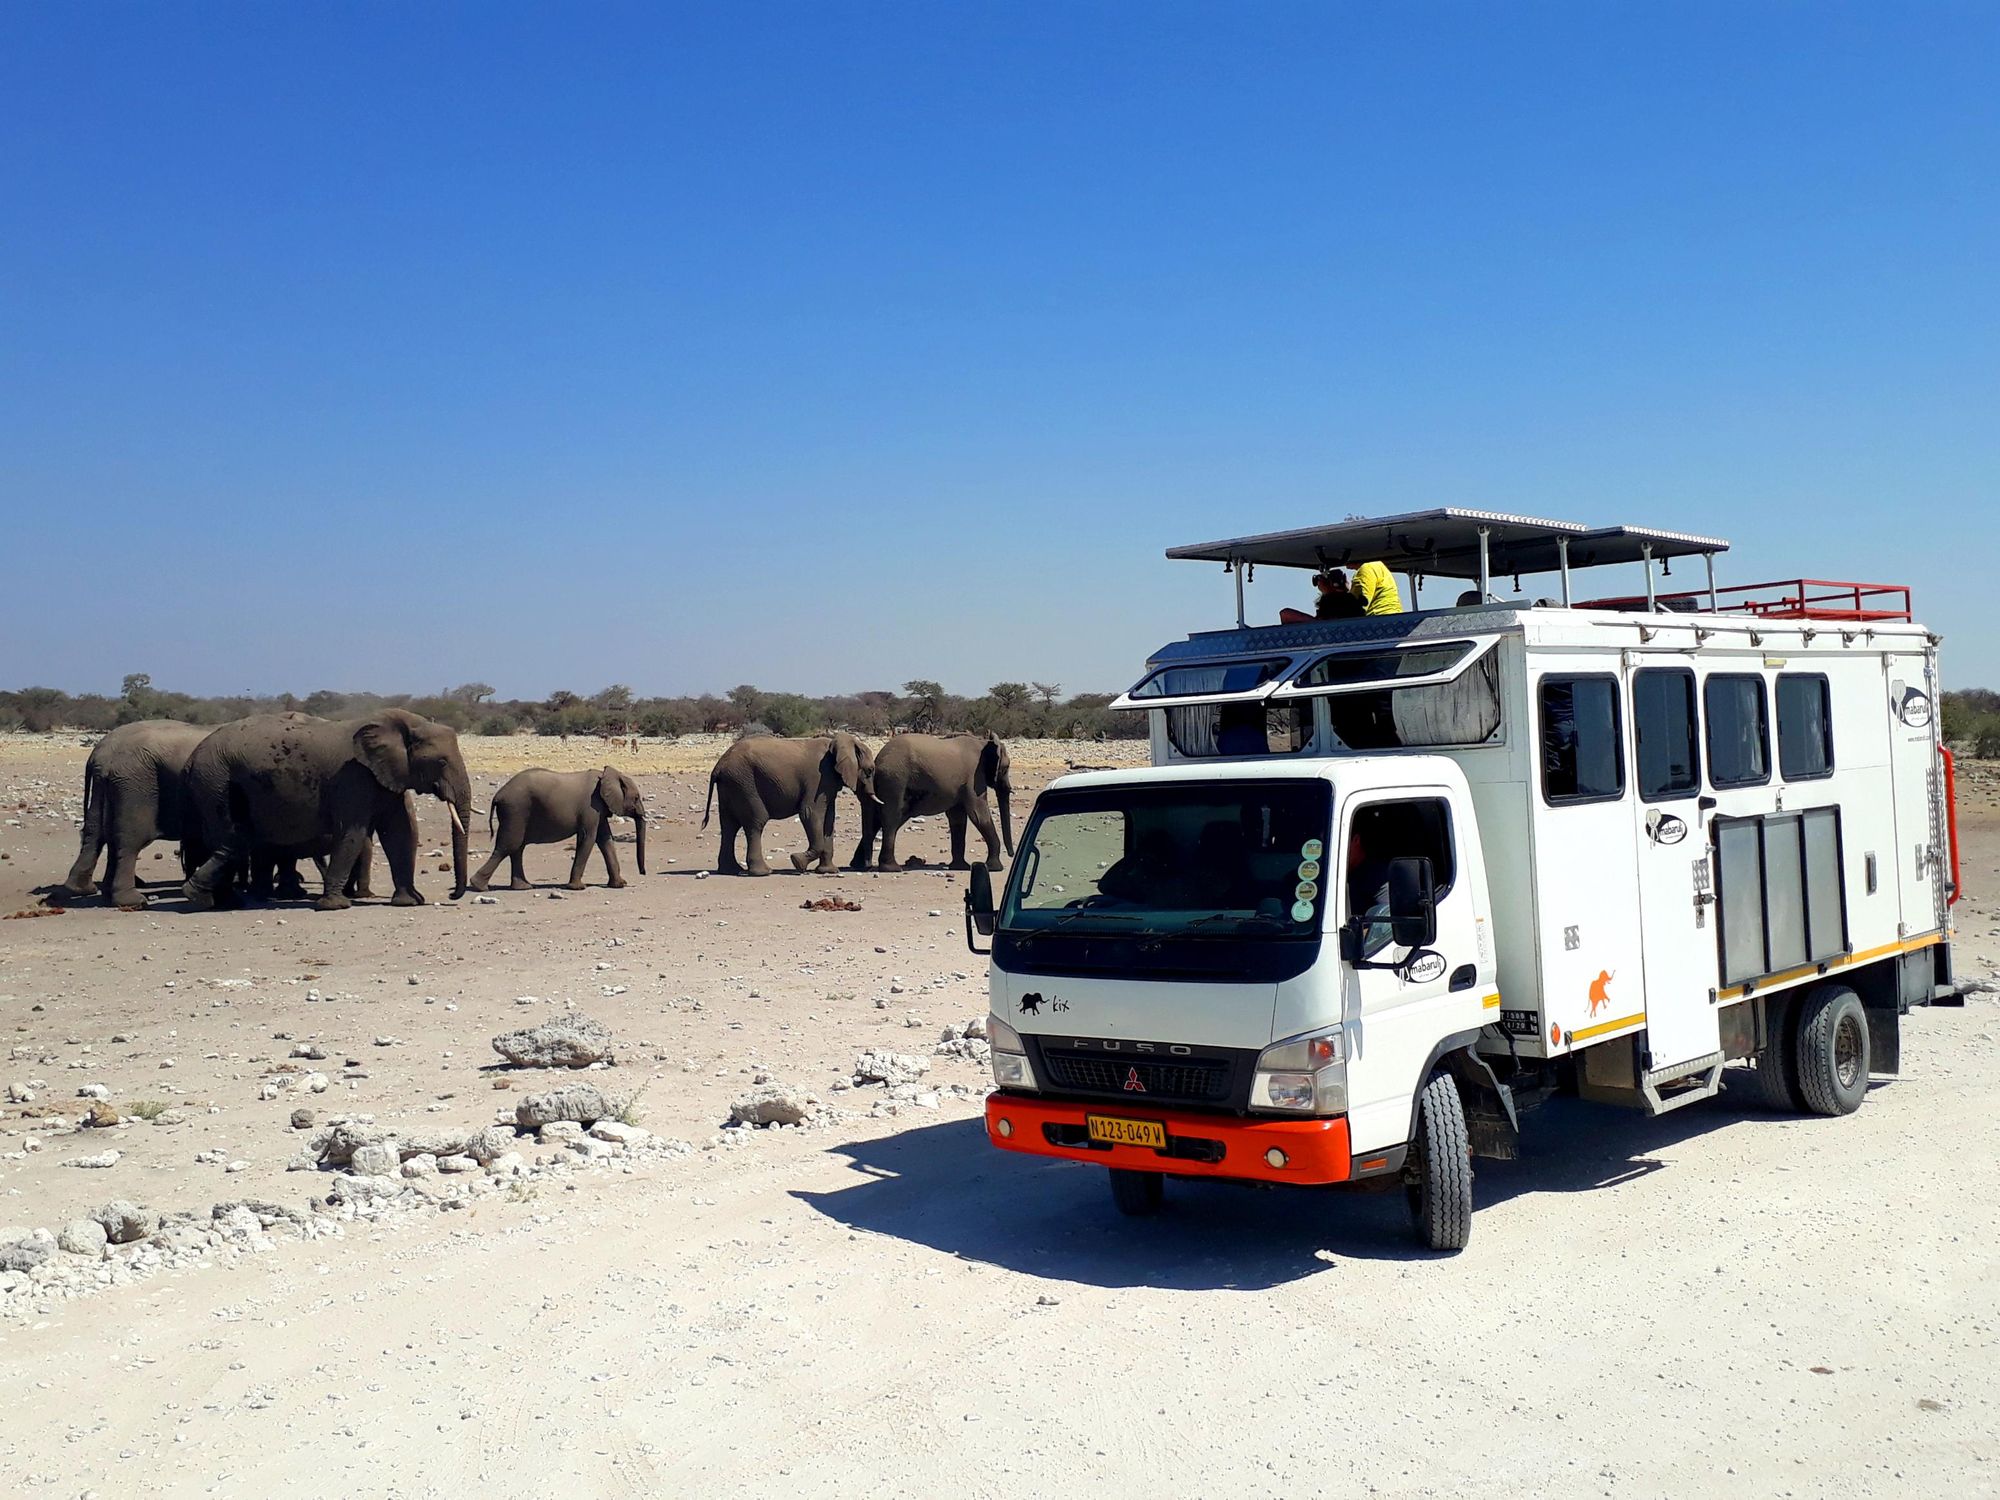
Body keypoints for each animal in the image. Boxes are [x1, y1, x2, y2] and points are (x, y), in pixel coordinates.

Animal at [54, 724, 211, 912]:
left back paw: (87, 890)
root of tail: (100, 754)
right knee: (130, 840)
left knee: (98, 832)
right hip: (136, 785)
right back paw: (132, 901)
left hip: (108, 785)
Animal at [181, 712, 472, 912]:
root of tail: (192, 757)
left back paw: (215, 898)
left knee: (231, 841)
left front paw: (409, 902)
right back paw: (208, 898)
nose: (451, 896)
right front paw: (335, 905)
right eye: (442, 762)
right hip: (215, 780)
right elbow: (352, 833)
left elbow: (400, 832)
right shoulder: (352, 777)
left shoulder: (387, 776)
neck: (405, 723)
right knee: (231, 838)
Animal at [468, 768, 648, 888]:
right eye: (636, 798)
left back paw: (523, 887)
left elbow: (606, 840)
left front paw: (619, 885)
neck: (607, 775)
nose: (643, 873)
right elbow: (588, 838)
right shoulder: (591, 807)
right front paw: (577, 888)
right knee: (508, 845)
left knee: (517, 848)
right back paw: (477, 886)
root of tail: (497, 795)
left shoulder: (599, 810)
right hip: (515, 811)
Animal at [704, 736, 876, 876]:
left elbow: (829, 820)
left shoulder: (828, 784)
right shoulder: (819, 778)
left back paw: (730, 870)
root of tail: (718, 766)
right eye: (869, 771)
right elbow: (809, 813)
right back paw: (762, 873)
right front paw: (797, 862)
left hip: (731, 785)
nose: (866, 866)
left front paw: (828, 871)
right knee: (756, 821)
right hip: (744, 783)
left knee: (729, 826)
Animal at [856, 736, 1016, 876]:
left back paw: (860, 865)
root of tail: (878, 759)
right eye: (1006, 768)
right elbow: (978, 814)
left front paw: (960, 867)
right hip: (895, 780)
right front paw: (994, 868)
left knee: (881, 820)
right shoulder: (974, 778)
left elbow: (957, 818)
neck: (984, 742)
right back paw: (892, 869)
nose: (1011, 854)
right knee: (892, 818)